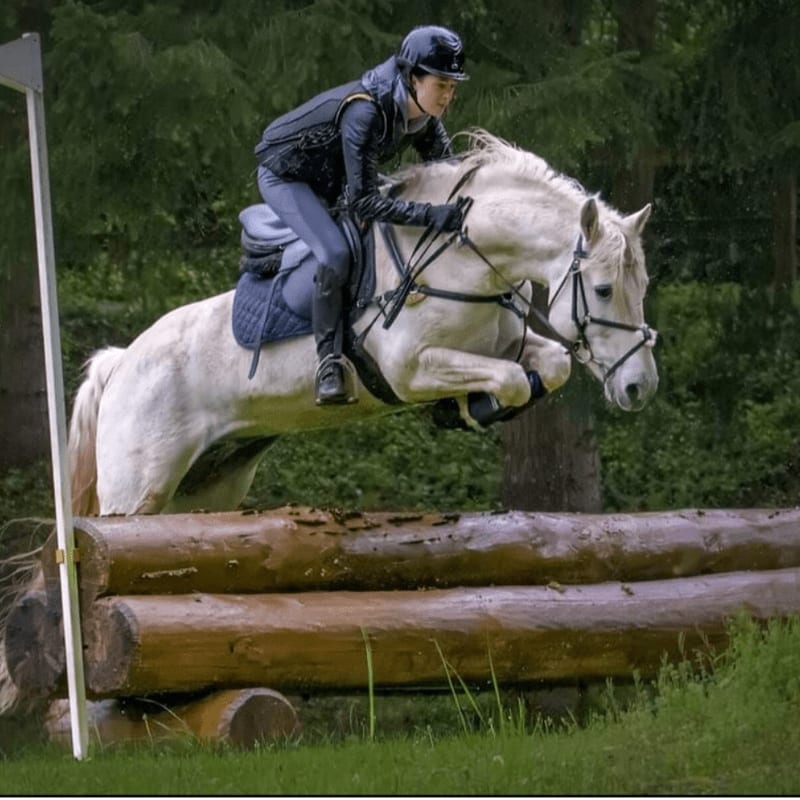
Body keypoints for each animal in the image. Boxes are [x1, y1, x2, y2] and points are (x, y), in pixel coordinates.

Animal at [68, 130, 658, 517]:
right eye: (604, 290)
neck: (461, 259)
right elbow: (511, 379)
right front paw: (473, 407)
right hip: (136, 490)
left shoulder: (504, 345)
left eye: (643, 287)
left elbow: (551, 363)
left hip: (206, 488)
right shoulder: (410, 370)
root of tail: (122, 362)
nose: (640, 386)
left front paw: (471, 407)